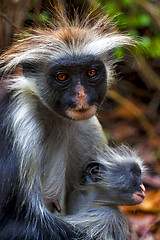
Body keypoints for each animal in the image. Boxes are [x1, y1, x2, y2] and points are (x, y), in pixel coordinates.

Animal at [0, 2, 132, 239]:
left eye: (91, 72)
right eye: (62, 76)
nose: (80, 95)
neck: (55, 119)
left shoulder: (89, 127)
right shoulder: (21, 123)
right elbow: (21, 222)